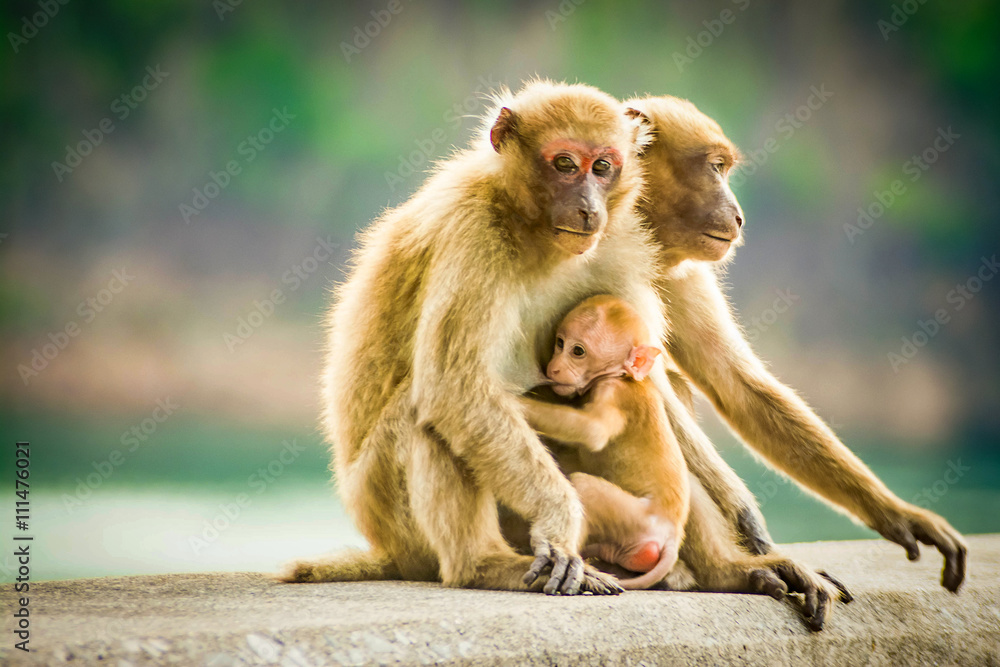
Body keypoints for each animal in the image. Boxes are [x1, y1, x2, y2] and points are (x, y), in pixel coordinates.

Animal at [517, 294, 689, 590]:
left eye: (578, 352)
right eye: (560, 343)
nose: (553, 367)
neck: (623, 376)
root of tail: (673, 535)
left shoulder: (613, 392)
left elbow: (592, 430)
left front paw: (512, 400)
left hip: (637, 520)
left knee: (584, 487)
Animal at [623, 94, 967, 598]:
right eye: (715, 168)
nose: (738, 213)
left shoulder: (679, 268)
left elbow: (737, 385)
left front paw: (898, 514)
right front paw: (747, 528)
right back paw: (726, 569)